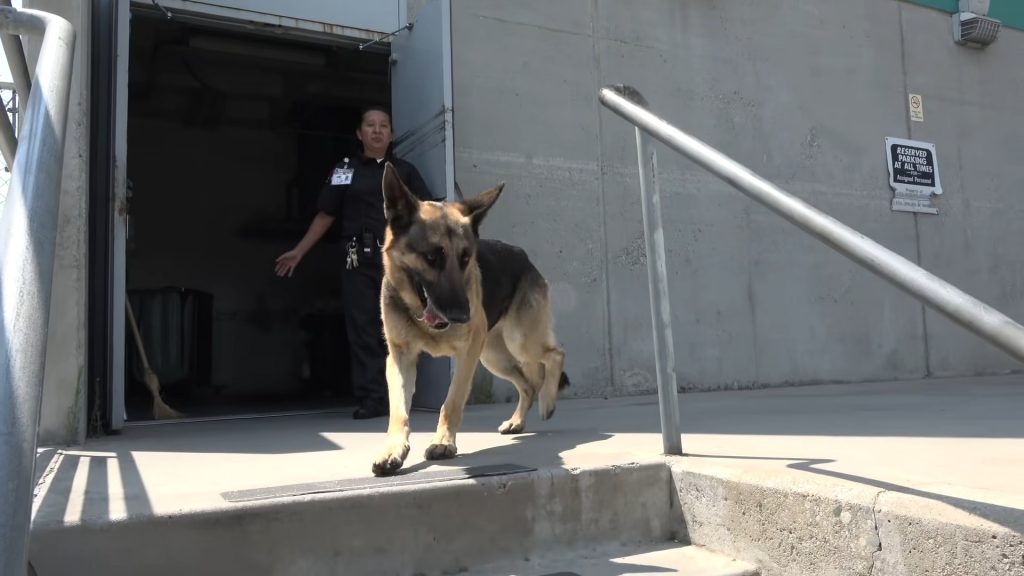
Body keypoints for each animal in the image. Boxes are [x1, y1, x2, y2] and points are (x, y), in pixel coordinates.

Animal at [374, 162, 573, 475]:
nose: (463, 315)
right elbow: (399, 412)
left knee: (554, 355)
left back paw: (548, 402)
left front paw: (443, 443)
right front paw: (393, 449)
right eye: (432, 257)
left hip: (518, 342)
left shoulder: (467, 355)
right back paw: (518, 420)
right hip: (494, 357)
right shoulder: (399, 358)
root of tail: (523, 256)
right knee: (528, 384)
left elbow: (452, 402)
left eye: (466, 257)